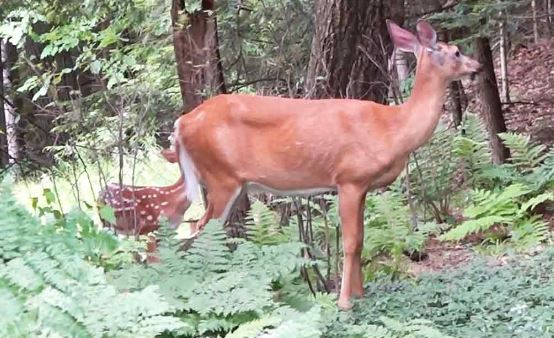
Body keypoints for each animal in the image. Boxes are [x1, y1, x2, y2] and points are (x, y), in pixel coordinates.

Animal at [167, 19, 478, 308]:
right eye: (456, 51)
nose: (477, 67)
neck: (391, 129)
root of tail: (181, 124)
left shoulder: (362, 186)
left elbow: (361, 239)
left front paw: (360, 294)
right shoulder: (349, 178)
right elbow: (350, 242)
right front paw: (344, 302)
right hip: (220, 176)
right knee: (198, 230)